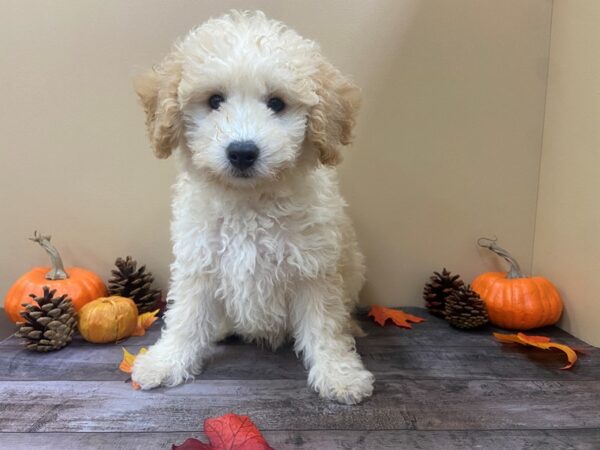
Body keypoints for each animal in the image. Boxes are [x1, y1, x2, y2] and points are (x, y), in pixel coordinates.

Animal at [134, 10, 372, 404]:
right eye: (215, 100)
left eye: (276, 103)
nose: (242, 152)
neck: (250, 202)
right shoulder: (199, 262)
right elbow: (186, 317)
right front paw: (166, 361)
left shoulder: (314, 270)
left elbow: (324, 326)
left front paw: (339, 373)